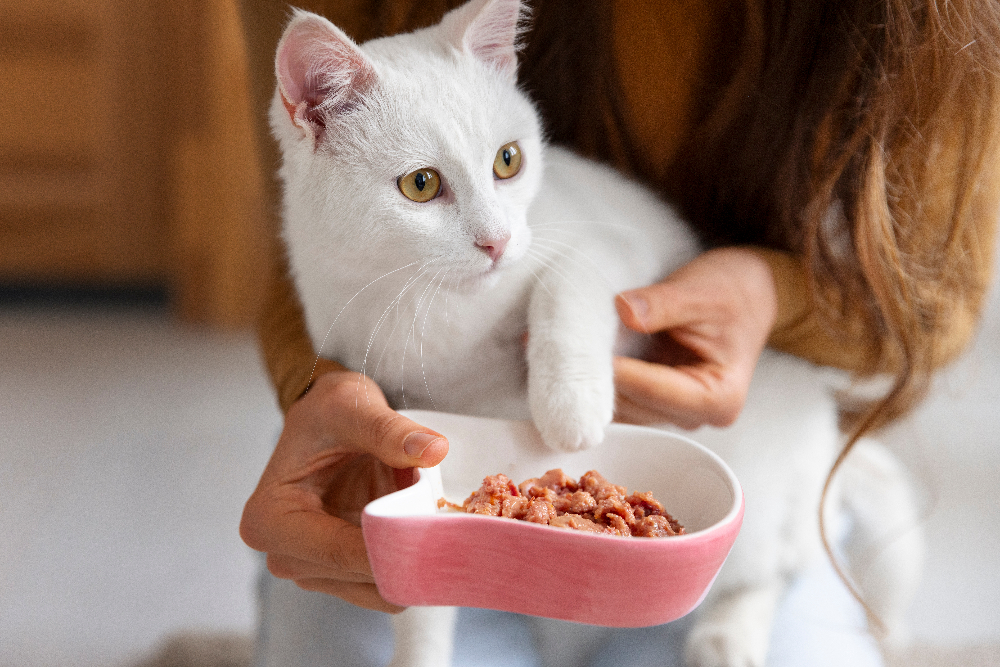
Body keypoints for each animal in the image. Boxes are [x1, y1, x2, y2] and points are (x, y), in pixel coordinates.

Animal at [268, 2, 920, 664]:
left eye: (508, 160)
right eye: (420, 184)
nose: (498, 241)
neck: (442, 309)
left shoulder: (616, 251)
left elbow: (568, 283)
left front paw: (570, 409)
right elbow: (423, 607)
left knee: (775, 566)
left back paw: (726, 635)